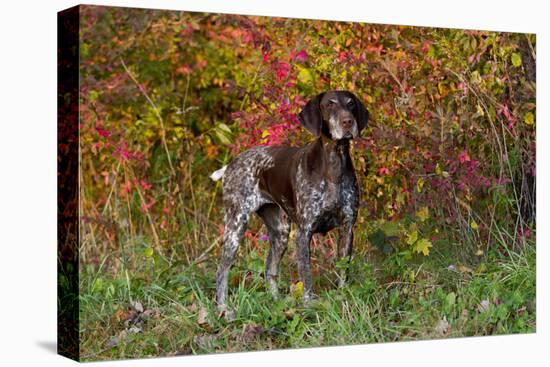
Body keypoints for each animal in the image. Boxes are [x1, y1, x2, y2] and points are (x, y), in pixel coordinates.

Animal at [211, 90, 370, 310]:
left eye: (351, 104)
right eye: (329, 104)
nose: (348, 122)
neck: (333, 164)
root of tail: (232, 164)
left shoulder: (347, 228)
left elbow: (342, 272)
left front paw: (342, 297)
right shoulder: (304, 232)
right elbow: (306, 275)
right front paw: (309, 305)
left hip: (280, 232)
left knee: (270, 268)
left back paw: (276, 302)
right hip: (236, 225)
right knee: (222, 270)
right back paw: (223, 308)